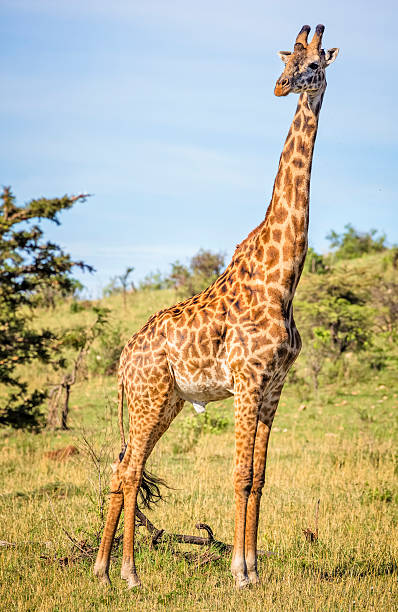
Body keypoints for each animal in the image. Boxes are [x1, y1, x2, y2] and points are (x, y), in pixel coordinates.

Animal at [94, 25, 338, 592]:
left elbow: (260, 477)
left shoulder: (273, 388)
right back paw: (130, 574)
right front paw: (241, 573)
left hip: (166, 402)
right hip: (148, 398)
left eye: (315, 63)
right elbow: (240, 474)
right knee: (131, 470)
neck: (282, 280)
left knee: (120, 469)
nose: (281, 86)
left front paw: (255, 570)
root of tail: (123, 359)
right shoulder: (247, 382)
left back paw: (101, 571)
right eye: (288, 61)